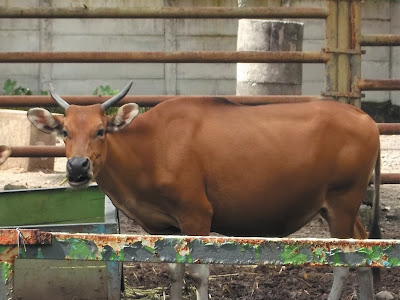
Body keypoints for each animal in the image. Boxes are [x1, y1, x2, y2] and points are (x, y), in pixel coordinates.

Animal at [28, 81, 382, 300]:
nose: (77, 167)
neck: (152, 148)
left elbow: (198, 274)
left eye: (101, 130)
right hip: (340, 208)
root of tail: (367, 119)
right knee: (367, 250)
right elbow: (174, 271)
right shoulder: (162, 226)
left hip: (342, 202)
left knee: (345, 262)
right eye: (64, 132)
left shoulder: (196, 215)